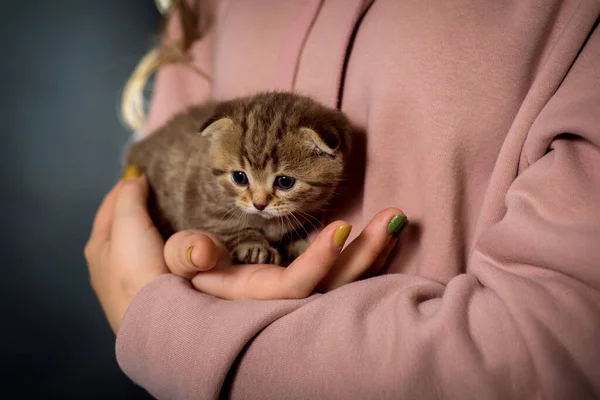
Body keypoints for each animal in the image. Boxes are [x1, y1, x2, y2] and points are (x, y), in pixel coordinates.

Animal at [126, 91, 352, 266]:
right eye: (240, 177)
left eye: (285, 182)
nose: (259, 204)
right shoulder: (201, 208)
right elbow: (230, 227)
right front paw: (254, 247)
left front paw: (296, 243)